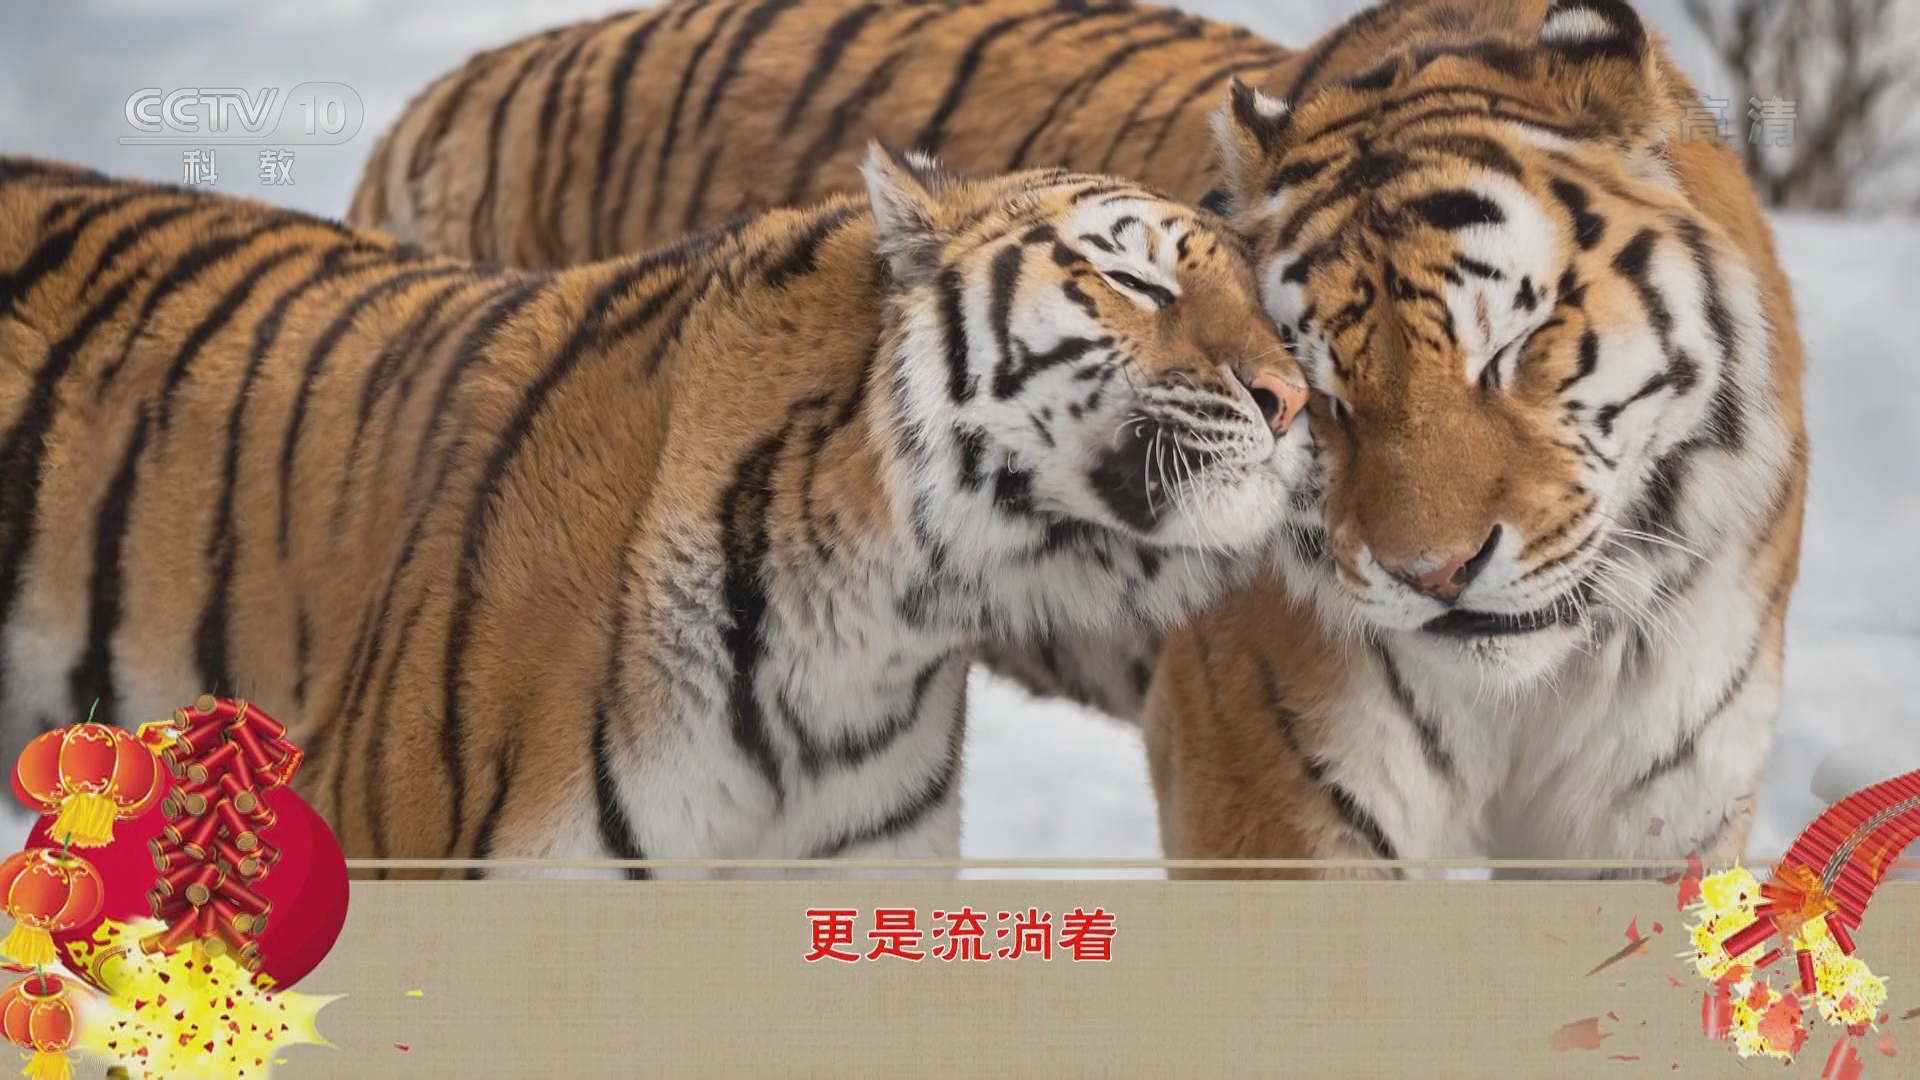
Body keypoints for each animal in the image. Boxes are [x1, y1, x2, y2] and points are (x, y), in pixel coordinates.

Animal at [1142, 0, 1808, 877]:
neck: (1532, 692)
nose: (1437, 575)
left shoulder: (1661, 813)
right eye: (1323, 394)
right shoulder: (1267, 794)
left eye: (1506, 350)